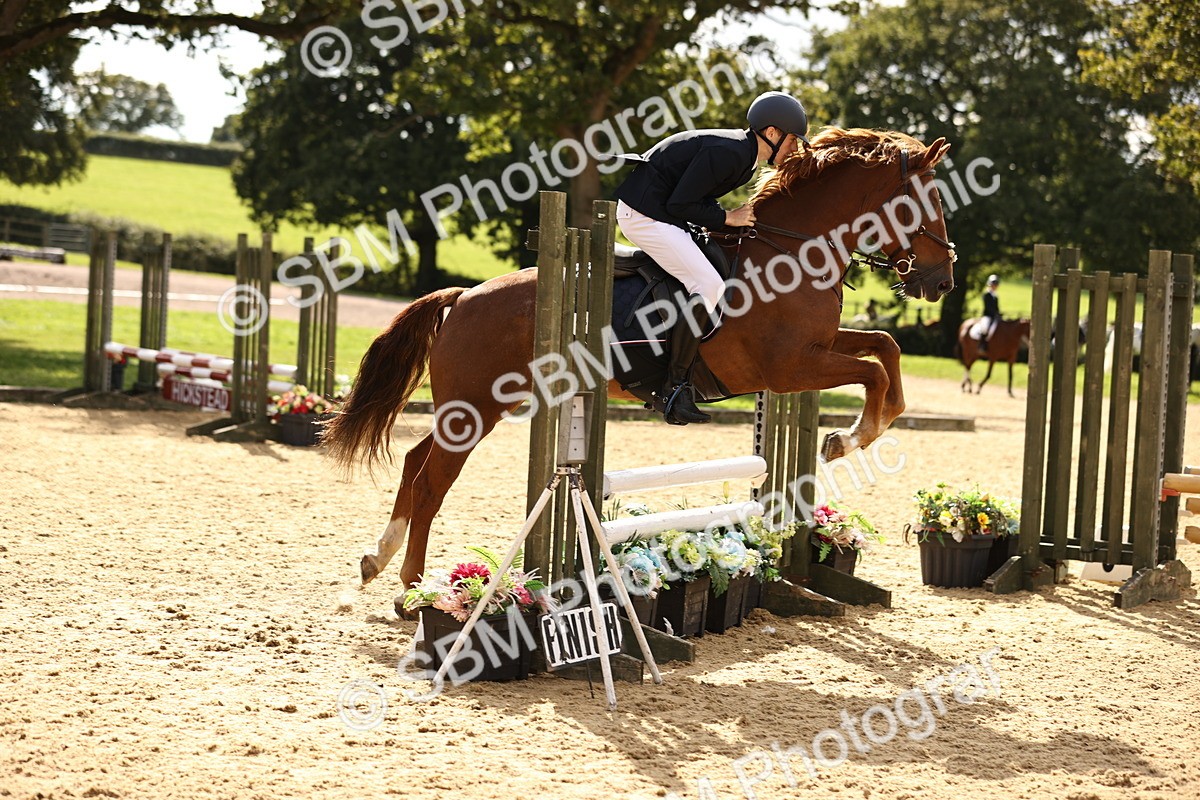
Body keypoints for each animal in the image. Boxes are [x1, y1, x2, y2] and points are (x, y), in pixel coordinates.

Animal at [323, 127, 957, 589]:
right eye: (928, 201)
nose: (943, 282)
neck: (793, 251)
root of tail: (464, 297)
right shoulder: (789, 368)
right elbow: (873, 371)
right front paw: (847, 438)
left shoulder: (815, 350)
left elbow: (885, 348)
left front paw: (857, 431)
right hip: (476, 406)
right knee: (433, 479)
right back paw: (412, 585)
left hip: (474, 406)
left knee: (415, 462)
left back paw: (378, 559)